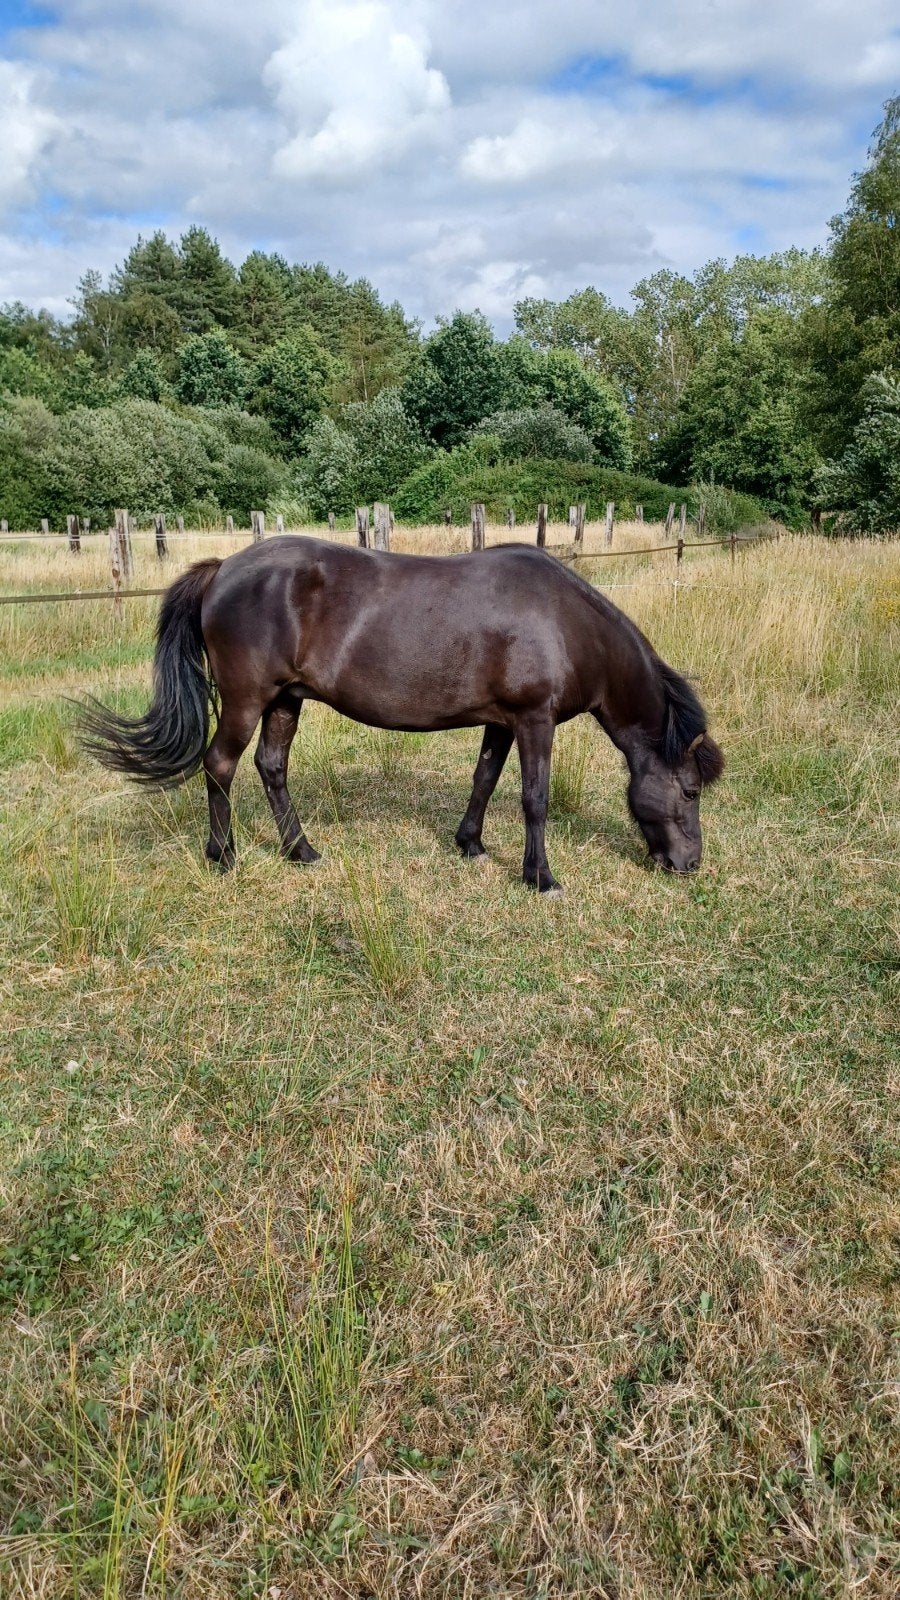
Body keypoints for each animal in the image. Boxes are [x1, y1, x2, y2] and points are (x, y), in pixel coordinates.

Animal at [79, 536, 724, 893]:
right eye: (690, 792)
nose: (688, 864)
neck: (565, 623)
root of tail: (224, 569)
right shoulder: (533, 721)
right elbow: (534, 798)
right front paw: (540, 877)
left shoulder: (502, 722)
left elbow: (484, 779)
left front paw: (470, 844)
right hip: (245, 700)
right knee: (220, 766)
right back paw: (225, 856)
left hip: (286, 700)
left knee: (271, 767)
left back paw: (300, 851)